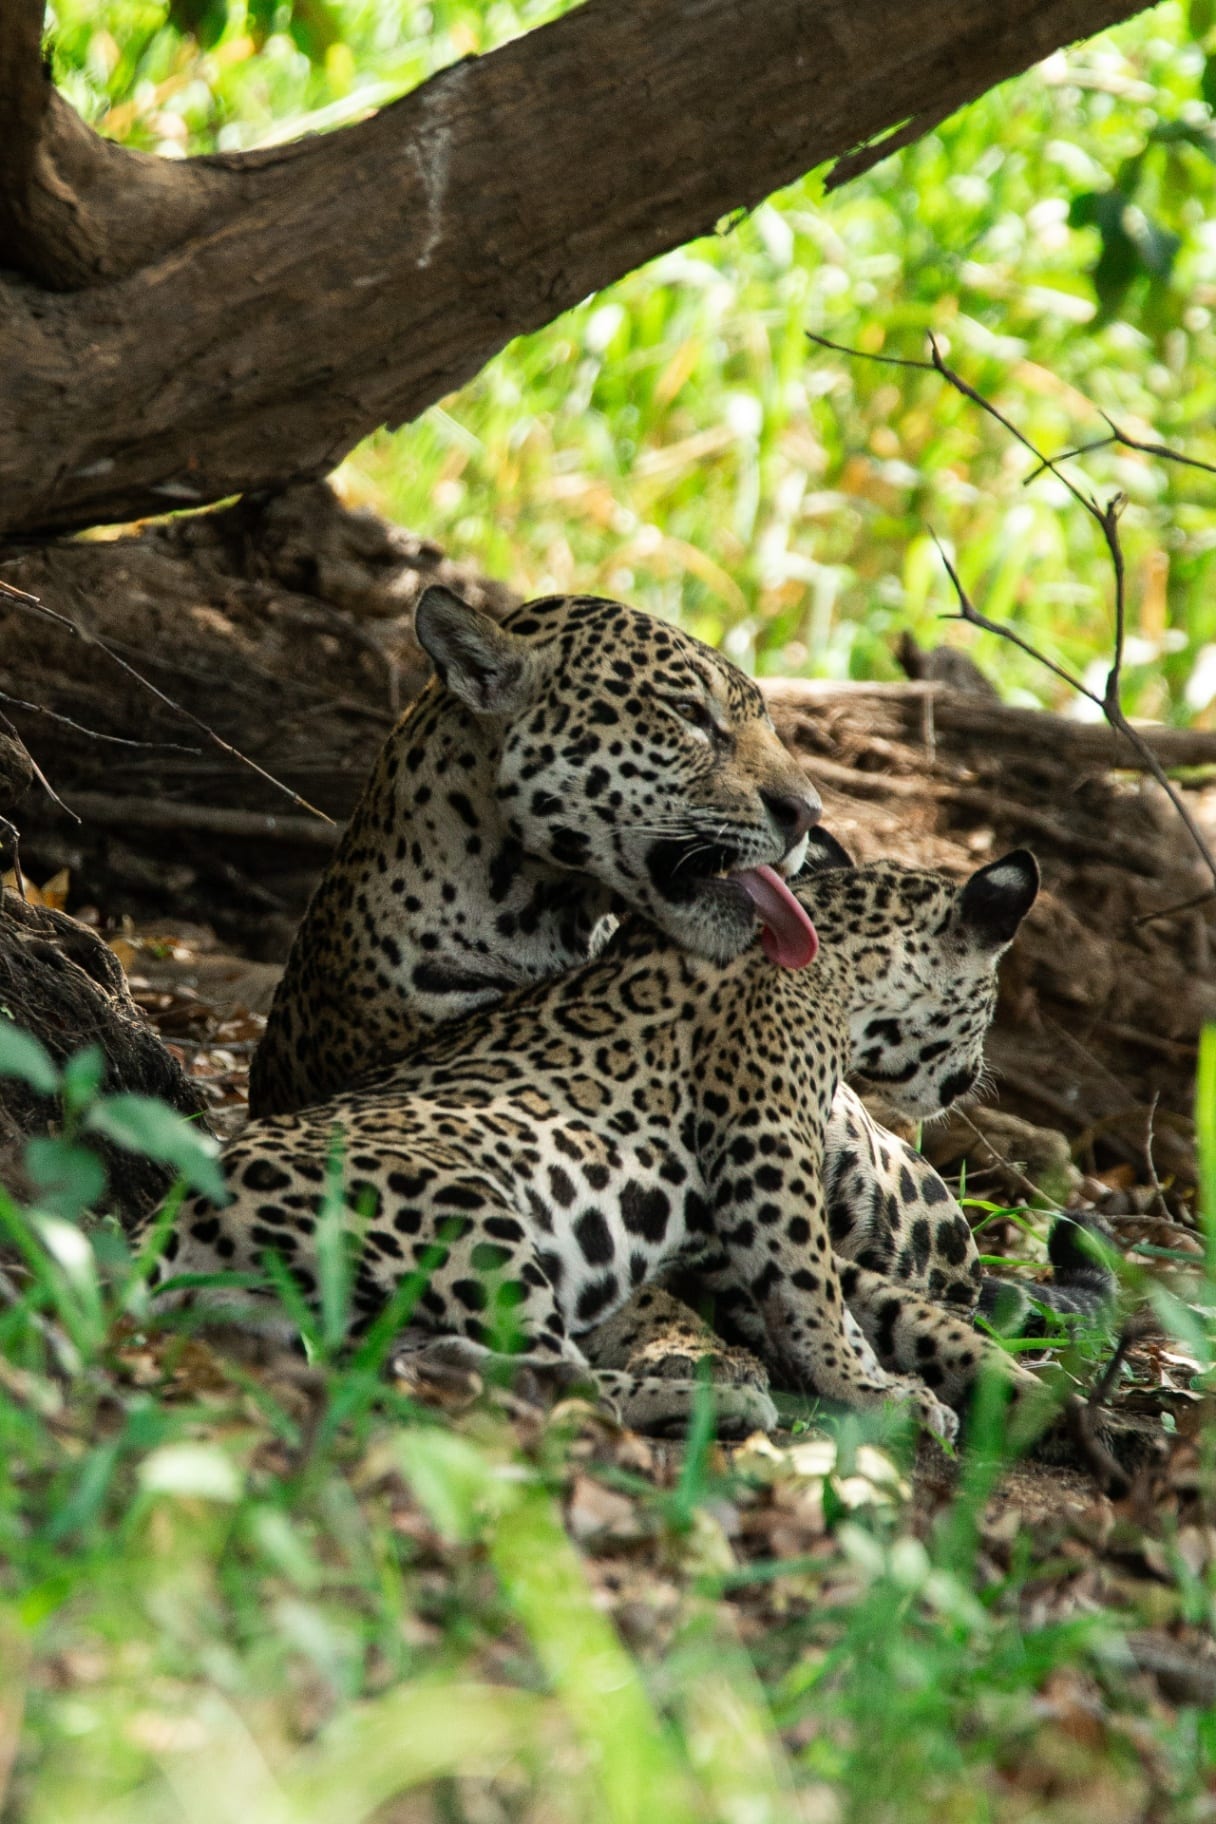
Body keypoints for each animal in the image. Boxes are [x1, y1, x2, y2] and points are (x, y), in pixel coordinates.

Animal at [140, 846, 1045, 1442]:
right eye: (991, 1003)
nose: (968, 1080)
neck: (840, 964)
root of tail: (168, 1222)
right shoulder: (763, 1150)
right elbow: (815, 1295)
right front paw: (874, 1392)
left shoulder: (719, 1230)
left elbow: (862, 1303)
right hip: (464, 1212)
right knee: (553, 1376)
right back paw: (712, 1403)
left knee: (416, 1362)